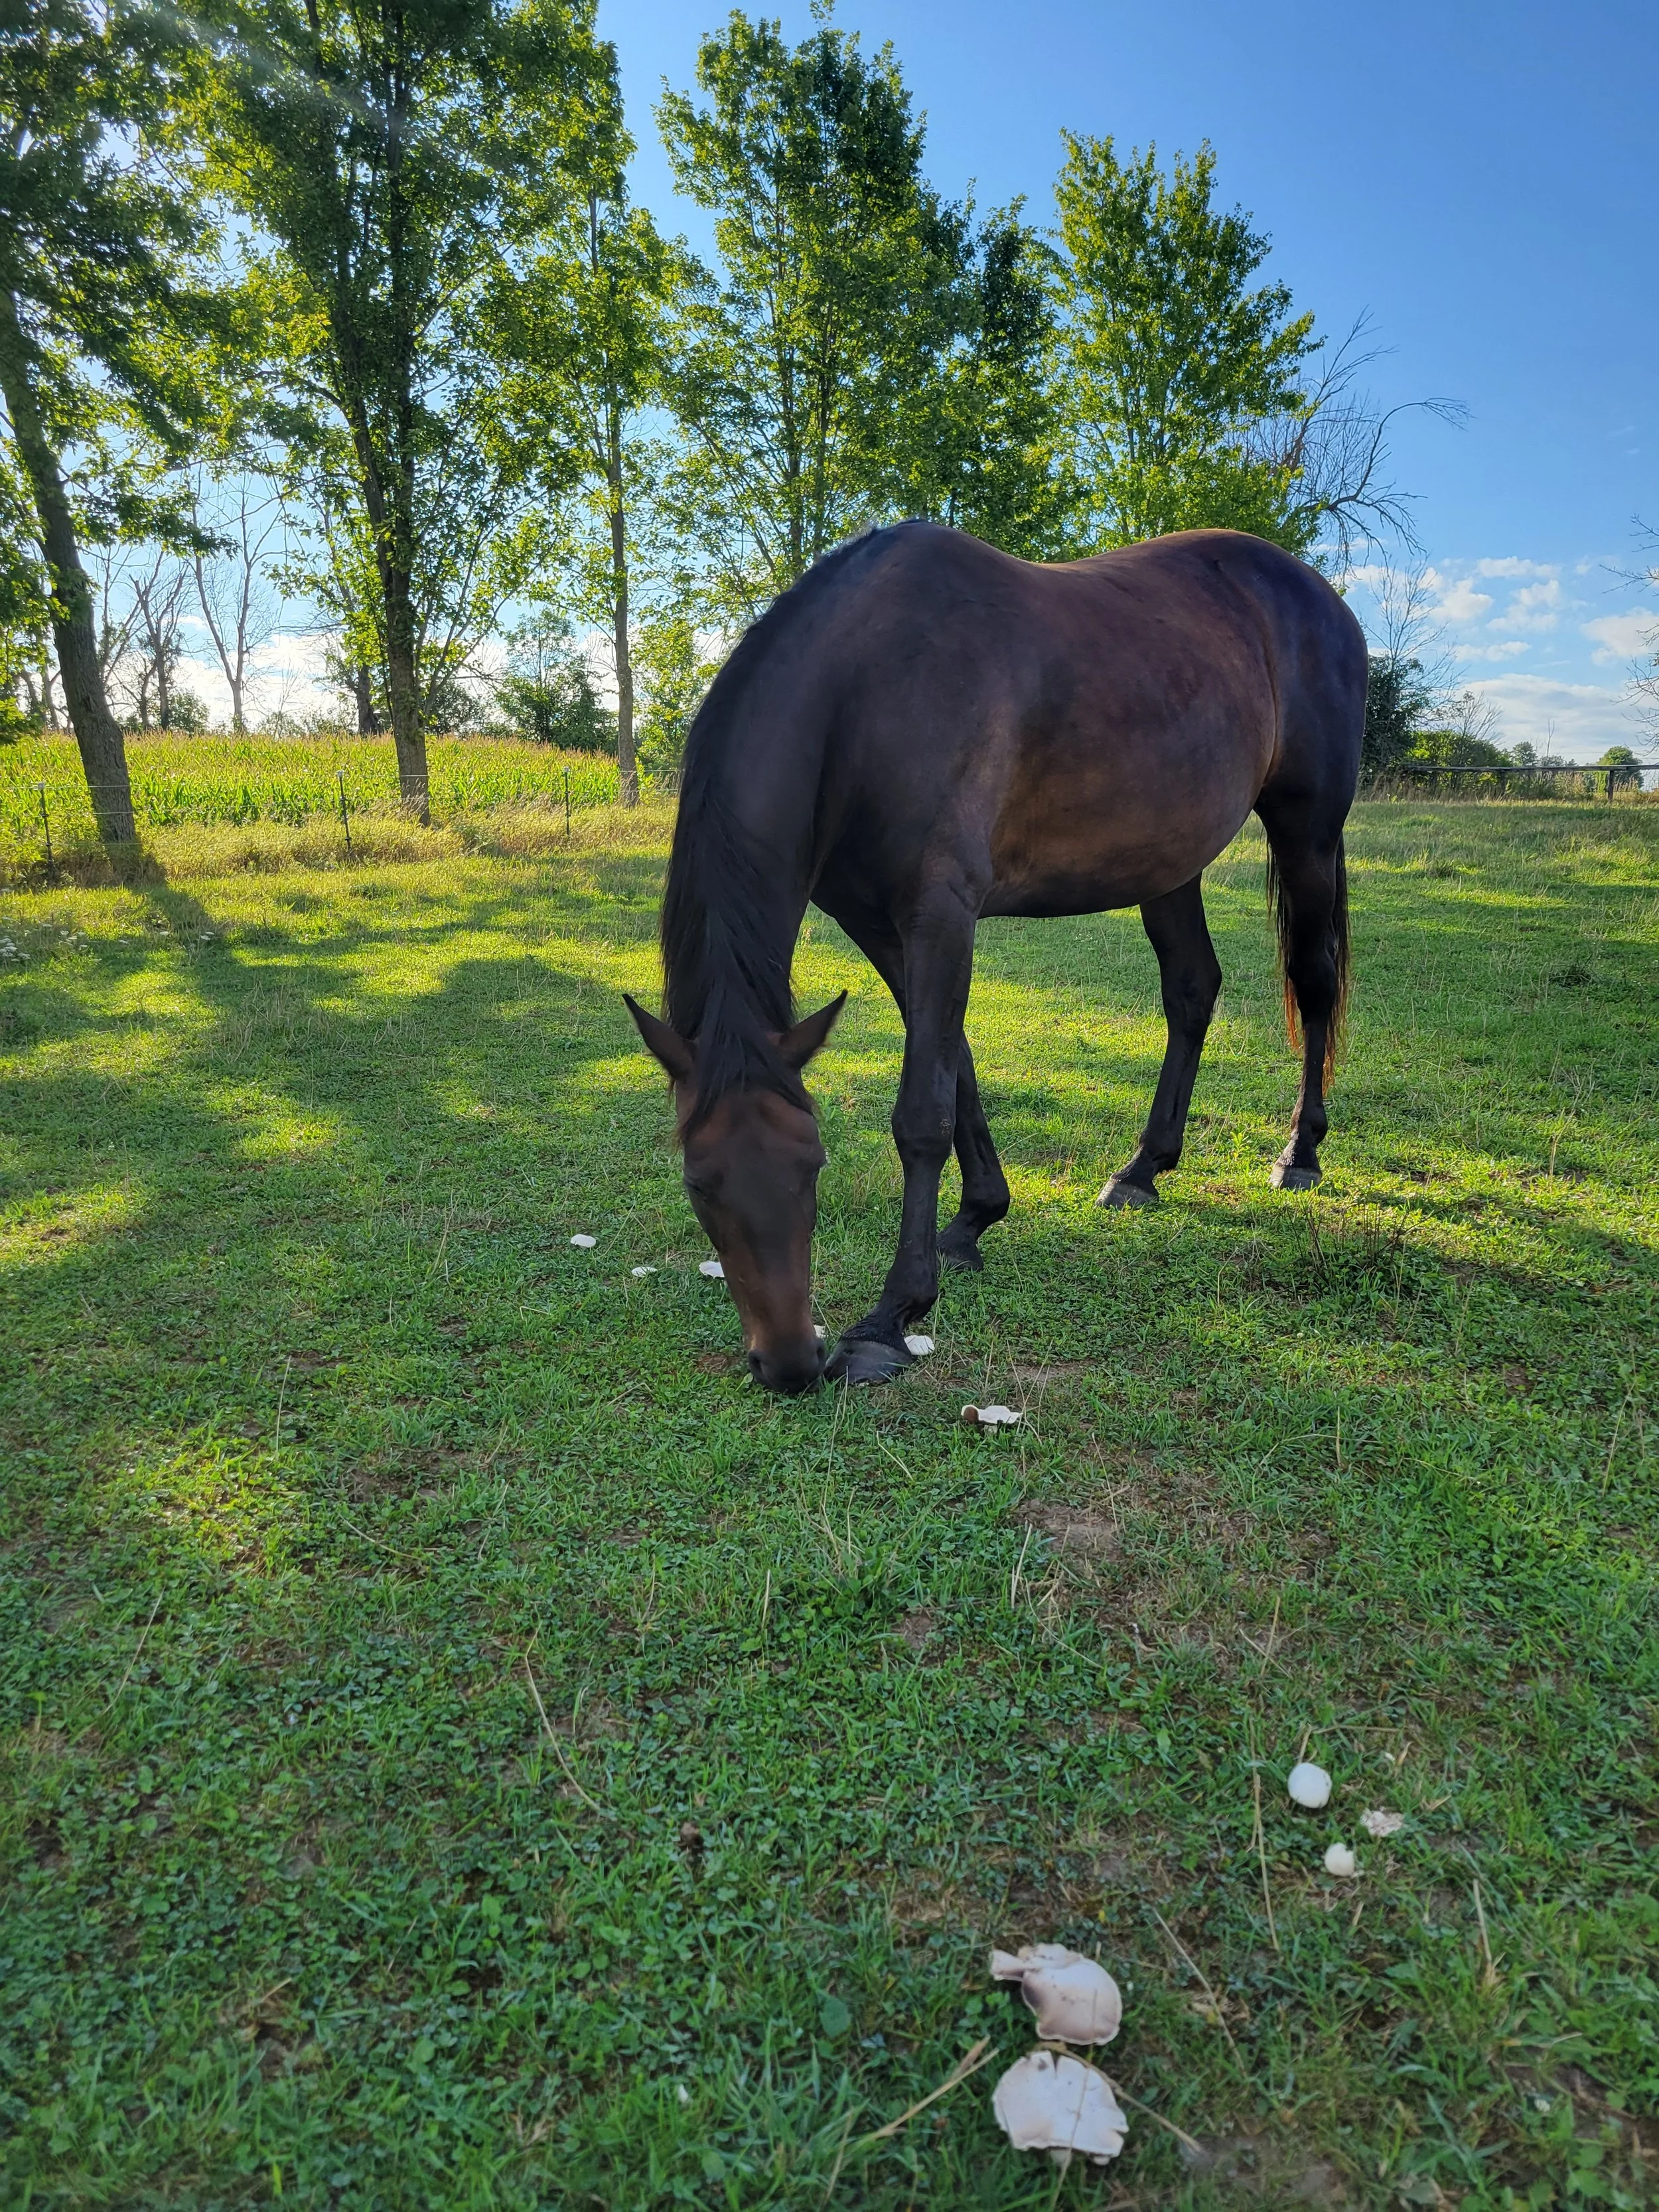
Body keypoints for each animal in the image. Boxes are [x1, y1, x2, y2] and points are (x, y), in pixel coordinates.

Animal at [625, 521, 1364, 1394]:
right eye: (698, 1184)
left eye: (812, 1166)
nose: (790, 1364)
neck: (868, 691)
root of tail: (1318, 597)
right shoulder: (882, 925)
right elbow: (959, 1071)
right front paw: (974, 1220)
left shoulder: (942, 911)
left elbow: (922, 1112)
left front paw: (890, 1317)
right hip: (1167, 863)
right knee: (1191, 990)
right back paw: (1142, 1168)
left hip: (1307, 832)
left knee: (1312, 983)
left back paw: (1299, 1153)